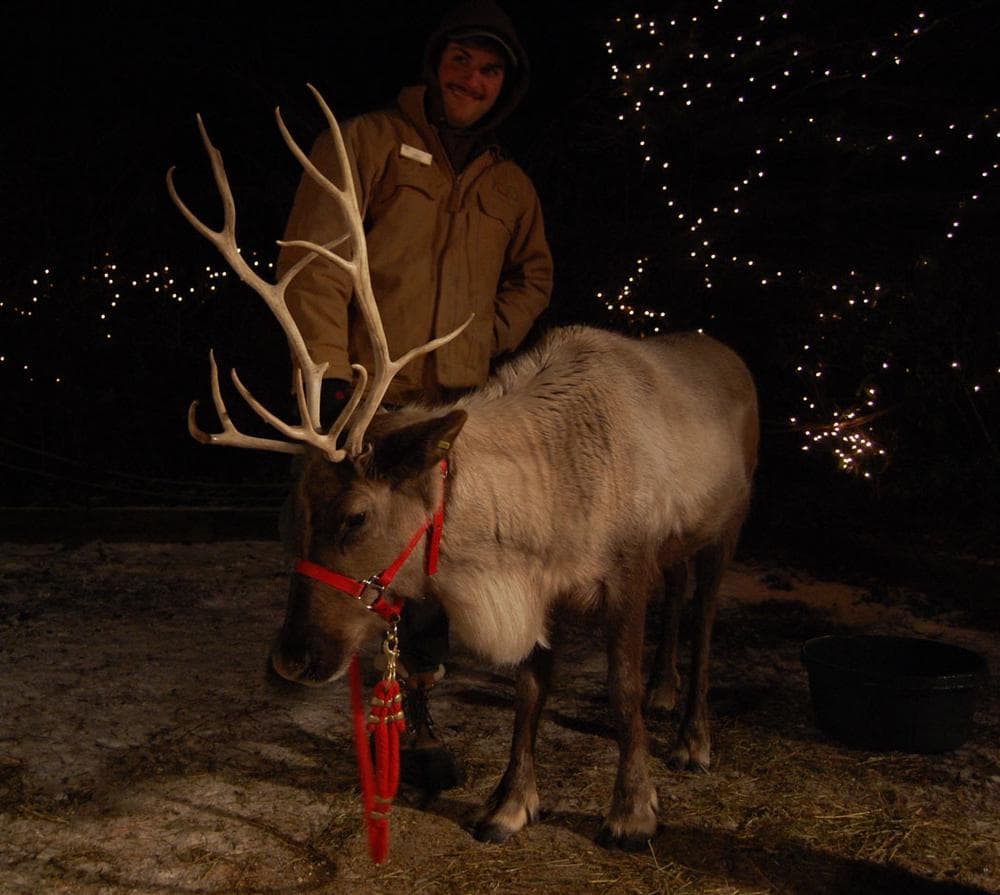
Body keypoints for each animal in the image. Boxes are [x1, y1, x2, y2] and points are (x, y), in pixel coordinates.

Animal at [169, 85, 759, 851]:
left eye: (355, 516)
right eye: (284, 519)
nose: (293, 656)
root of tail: (729, 356)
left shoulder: (626, 568)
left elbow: (619, 686)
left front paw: (632, 808)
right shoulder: (544, 585)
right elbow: (531, 690)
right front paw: (510, 802)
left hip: (729, 524)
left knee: (706, 618)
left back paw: (692, 735)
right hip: (682, 543)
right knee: (681, 595)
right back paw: (667, 694)